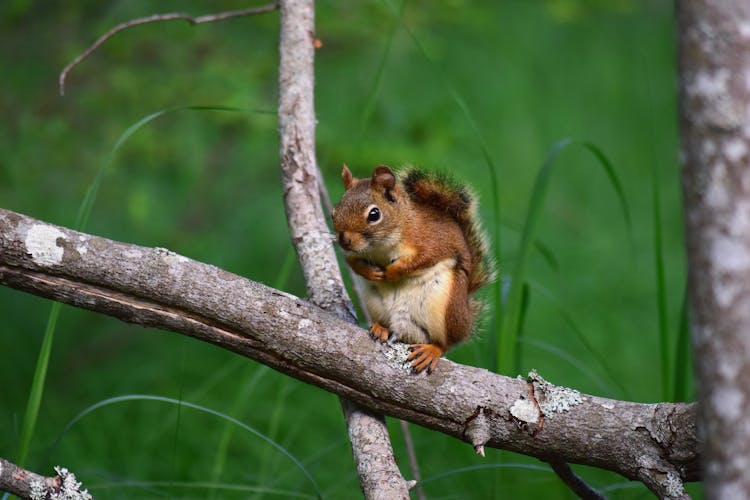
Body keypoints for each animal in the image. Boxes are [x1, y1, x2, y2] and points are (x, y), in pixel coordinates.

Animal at [334, 166, 496, 374]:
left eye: (374, 214)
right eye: (334, 211)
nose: (344, 241)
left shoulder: (430, 242)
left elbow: (420, 260)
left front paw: (392, 272)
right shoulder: (354, 253)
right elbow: (353, 262)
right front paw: (372, 272)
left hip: (447, 308)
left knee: (446, 343)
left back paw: (431, 351)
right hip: (376, 303)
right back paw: (381, 328)